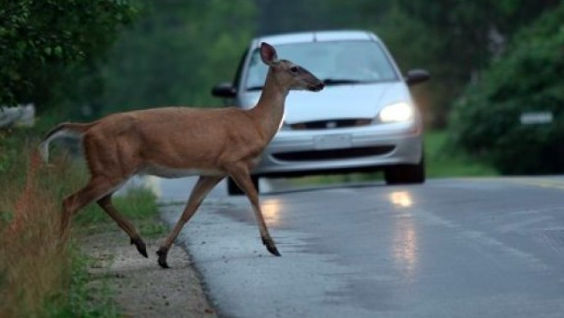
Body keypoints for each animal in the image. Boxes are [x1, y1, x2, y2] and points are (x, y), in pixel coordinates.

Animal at [39, 41, 326, 268]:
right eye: (294, 68)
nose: (320, 83)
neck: (255, 123)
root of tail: (89, 128)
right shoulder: (234, 161)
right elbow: (254, 197)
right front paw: (272, 246)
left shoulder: (212, 171)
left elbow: (190, 209)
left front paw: (163, 254)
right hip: (111, 166)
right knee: (71, 201)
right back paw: (59, 252)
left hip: (113, 168)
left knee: (102, 200)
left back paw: (140, 243)